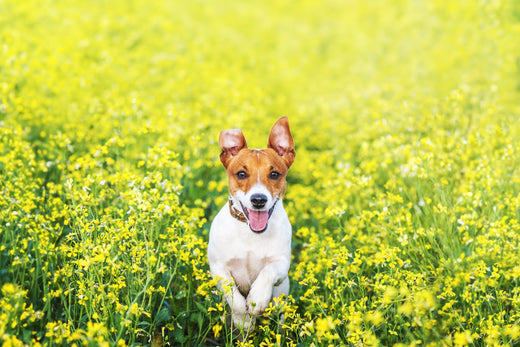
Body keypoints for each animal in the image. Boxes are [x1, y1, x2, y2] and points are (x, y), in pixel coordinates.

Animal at [208, 117, 296, 332]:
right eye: (241, 174)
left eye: (274, 174)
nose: (258, 200)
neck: (250, 233)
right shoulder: (218, 268)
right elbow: (234, 297)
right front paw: (244, 321)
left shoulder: (282, 265)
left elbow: (267, 272)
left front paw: (257, 300)